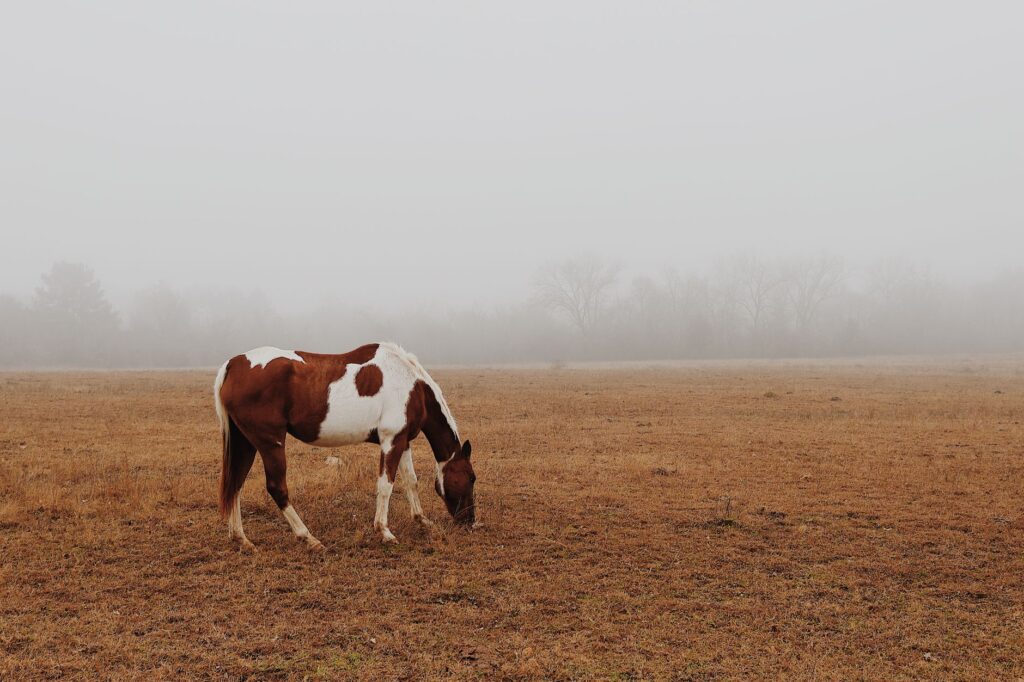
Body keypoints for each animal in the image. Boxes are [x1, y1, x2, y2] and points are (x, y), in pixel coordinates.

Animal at [213, 342, 476, 550]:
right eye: (471, 478)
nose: (470, 521)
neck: (412, 386)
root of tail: (234, 364)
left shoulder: (403, 441)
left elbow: (411, 481)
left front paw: (422, 520)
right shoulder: (391, 441)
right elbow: (385, 486)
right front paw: (384, 531)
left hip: (245, 442)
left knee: (235, 484)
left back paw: (241, 539)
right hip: (270, 443)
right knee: (277, 488)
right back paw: (308, 537)